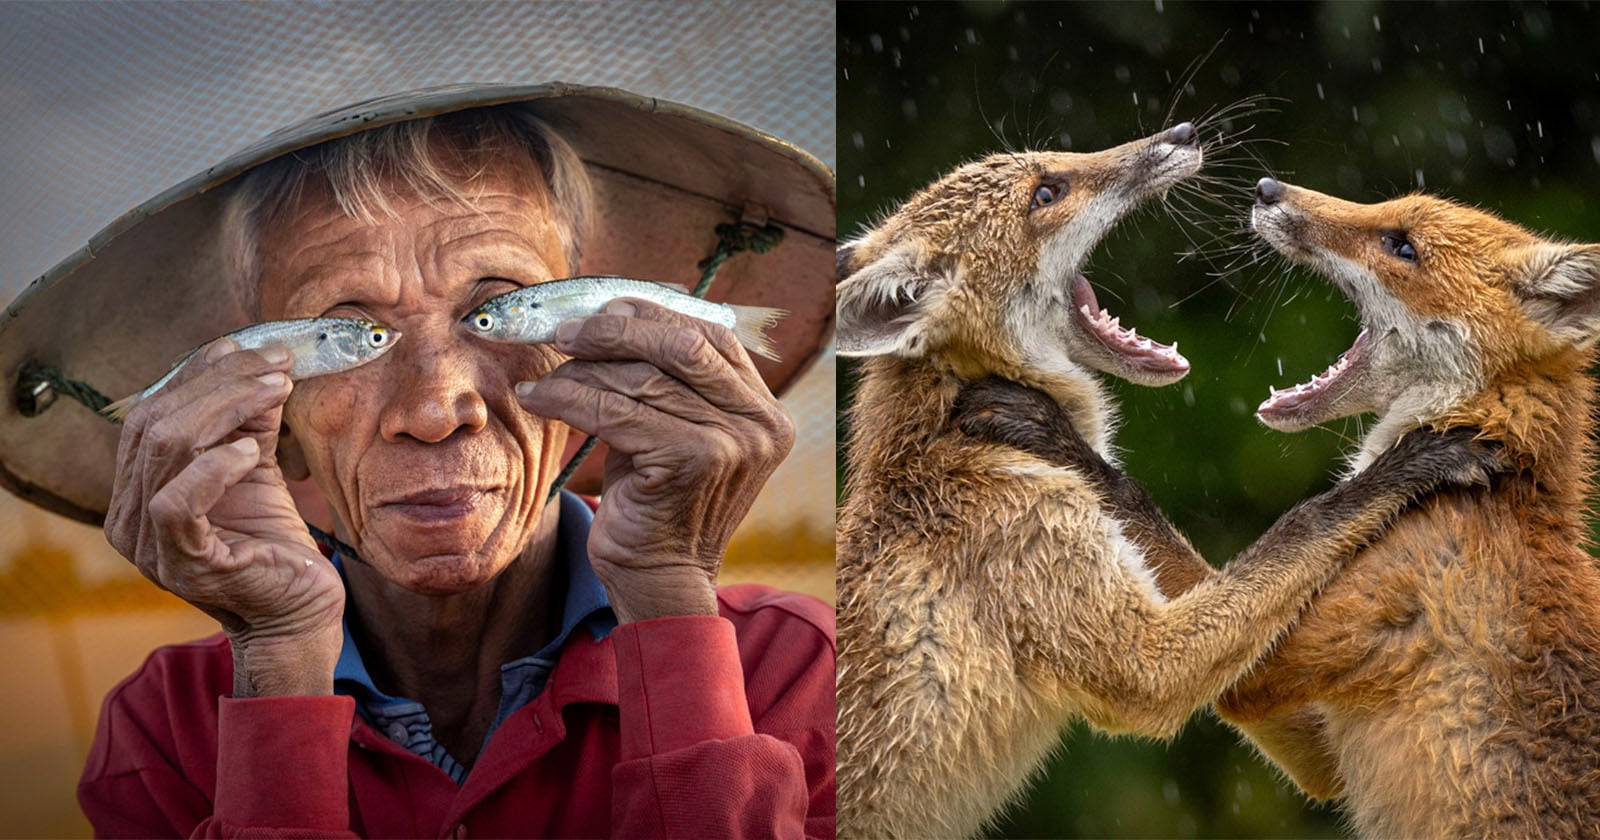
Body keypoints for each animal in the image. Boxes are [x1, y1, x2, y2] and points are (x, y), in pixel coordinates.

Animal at [832, 124, 1503, 839]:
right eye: (1047, 193)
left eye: (1051, 170)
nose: (1181, 133)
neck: (948, 439)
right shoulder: (1134, 655)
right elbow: (1308, 520)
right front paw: (1409, 464)